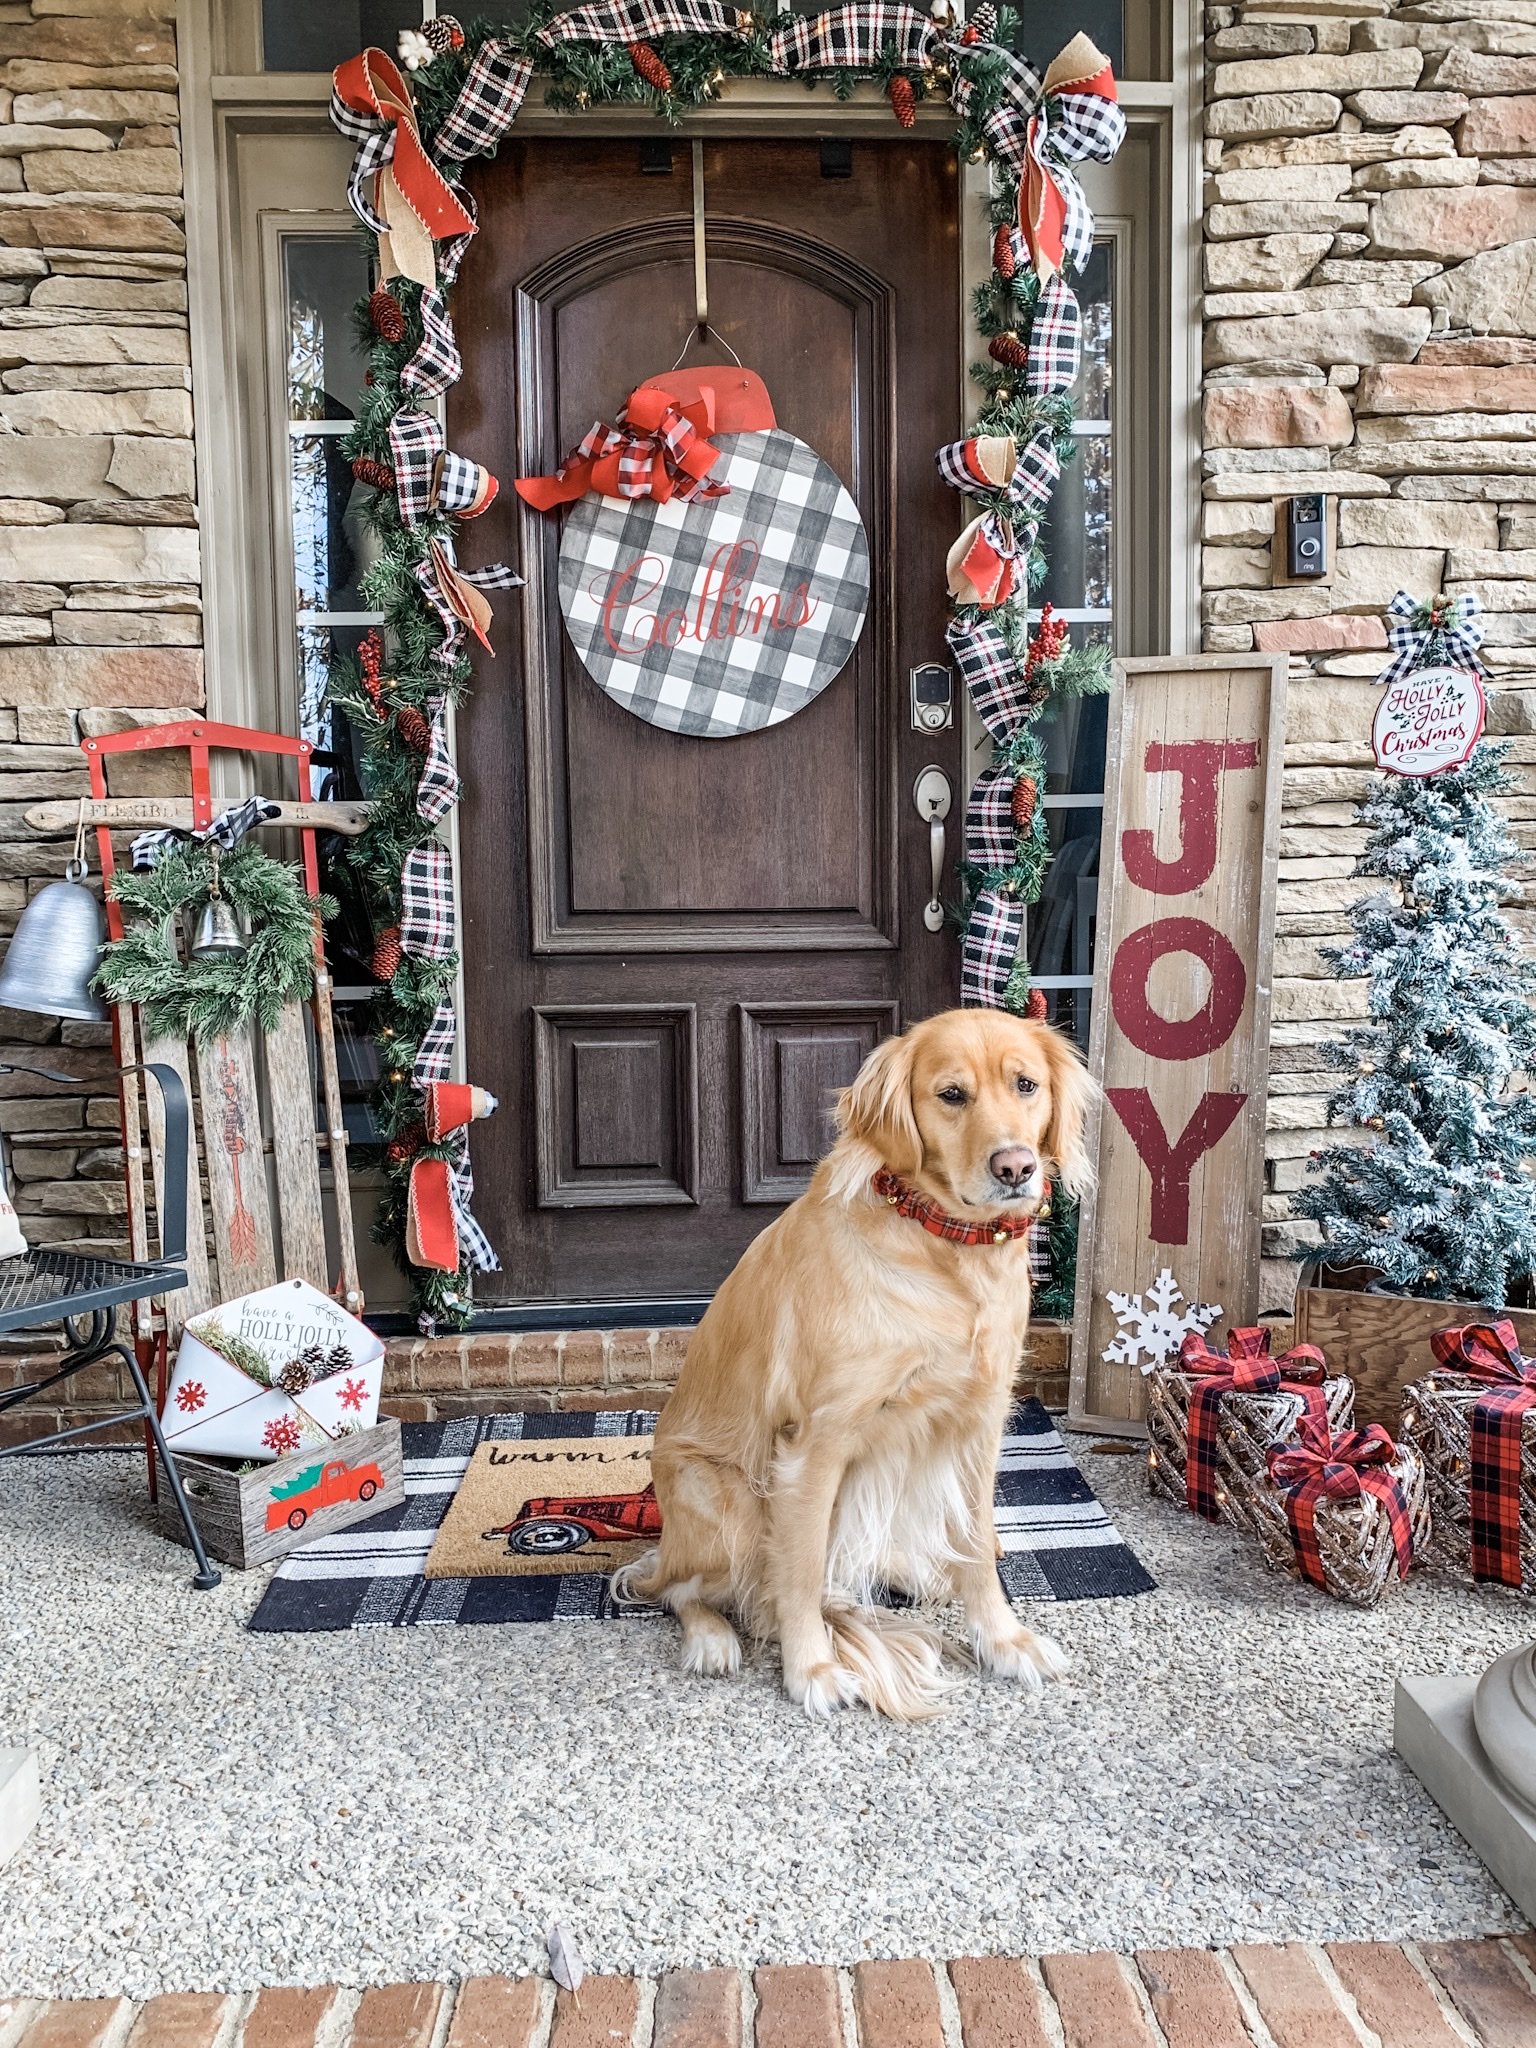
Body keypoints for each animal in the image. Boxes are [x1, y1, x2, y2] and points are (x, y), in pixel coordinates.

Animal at [618, 1003, 1097, 1712]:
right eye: (951, 1095)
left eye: (1026, 1086)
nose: (1015, 1167)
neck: (944, 1247)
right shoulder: (815, 1443)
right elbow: (800, 1570)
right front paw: (811, 1669)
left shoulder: (980, 1423)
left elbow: (978, 1544)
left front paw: (1004, 1639)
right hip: (720, 1496)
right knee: (680, 1589)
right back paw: (712, 1638)